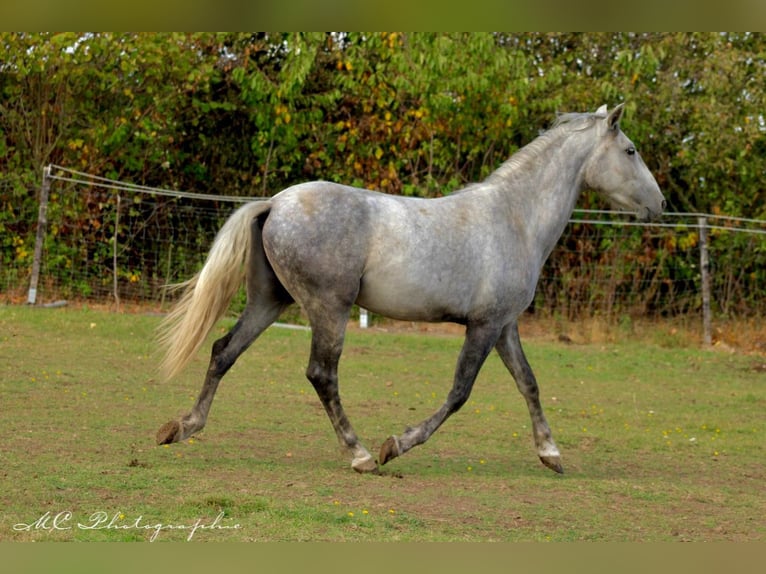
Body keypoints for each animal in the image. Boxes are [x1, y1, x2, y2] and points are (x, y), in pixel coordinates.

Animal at [156, 103, 664, 476]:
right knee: (321, 374)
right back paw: (361, 455)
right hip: (328, 308)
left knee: (224, 350)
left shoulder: (504, 326)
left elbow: (529, 383)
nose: (659, 205)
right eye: (631, 150)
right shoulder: (483, 327)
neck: (515, 219)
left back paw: (183, 427)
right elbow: (459, 393)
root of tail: (275, 203)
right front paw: (395, 445)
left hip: (270, 301)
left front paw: (550, 454)